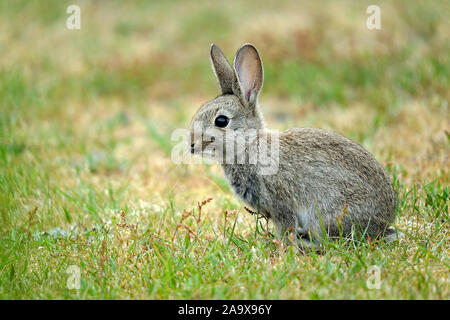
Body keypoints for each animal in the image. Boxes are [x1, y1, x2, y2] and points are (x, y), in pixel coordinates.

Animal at [189, 43, 400, 251]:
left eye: (221, 121)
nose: (191, 145)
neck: (249, 145)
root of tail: (382, 224)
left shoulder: (280, 204)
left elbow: (285, 228)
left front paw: (284, 246)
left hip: (327, 214)